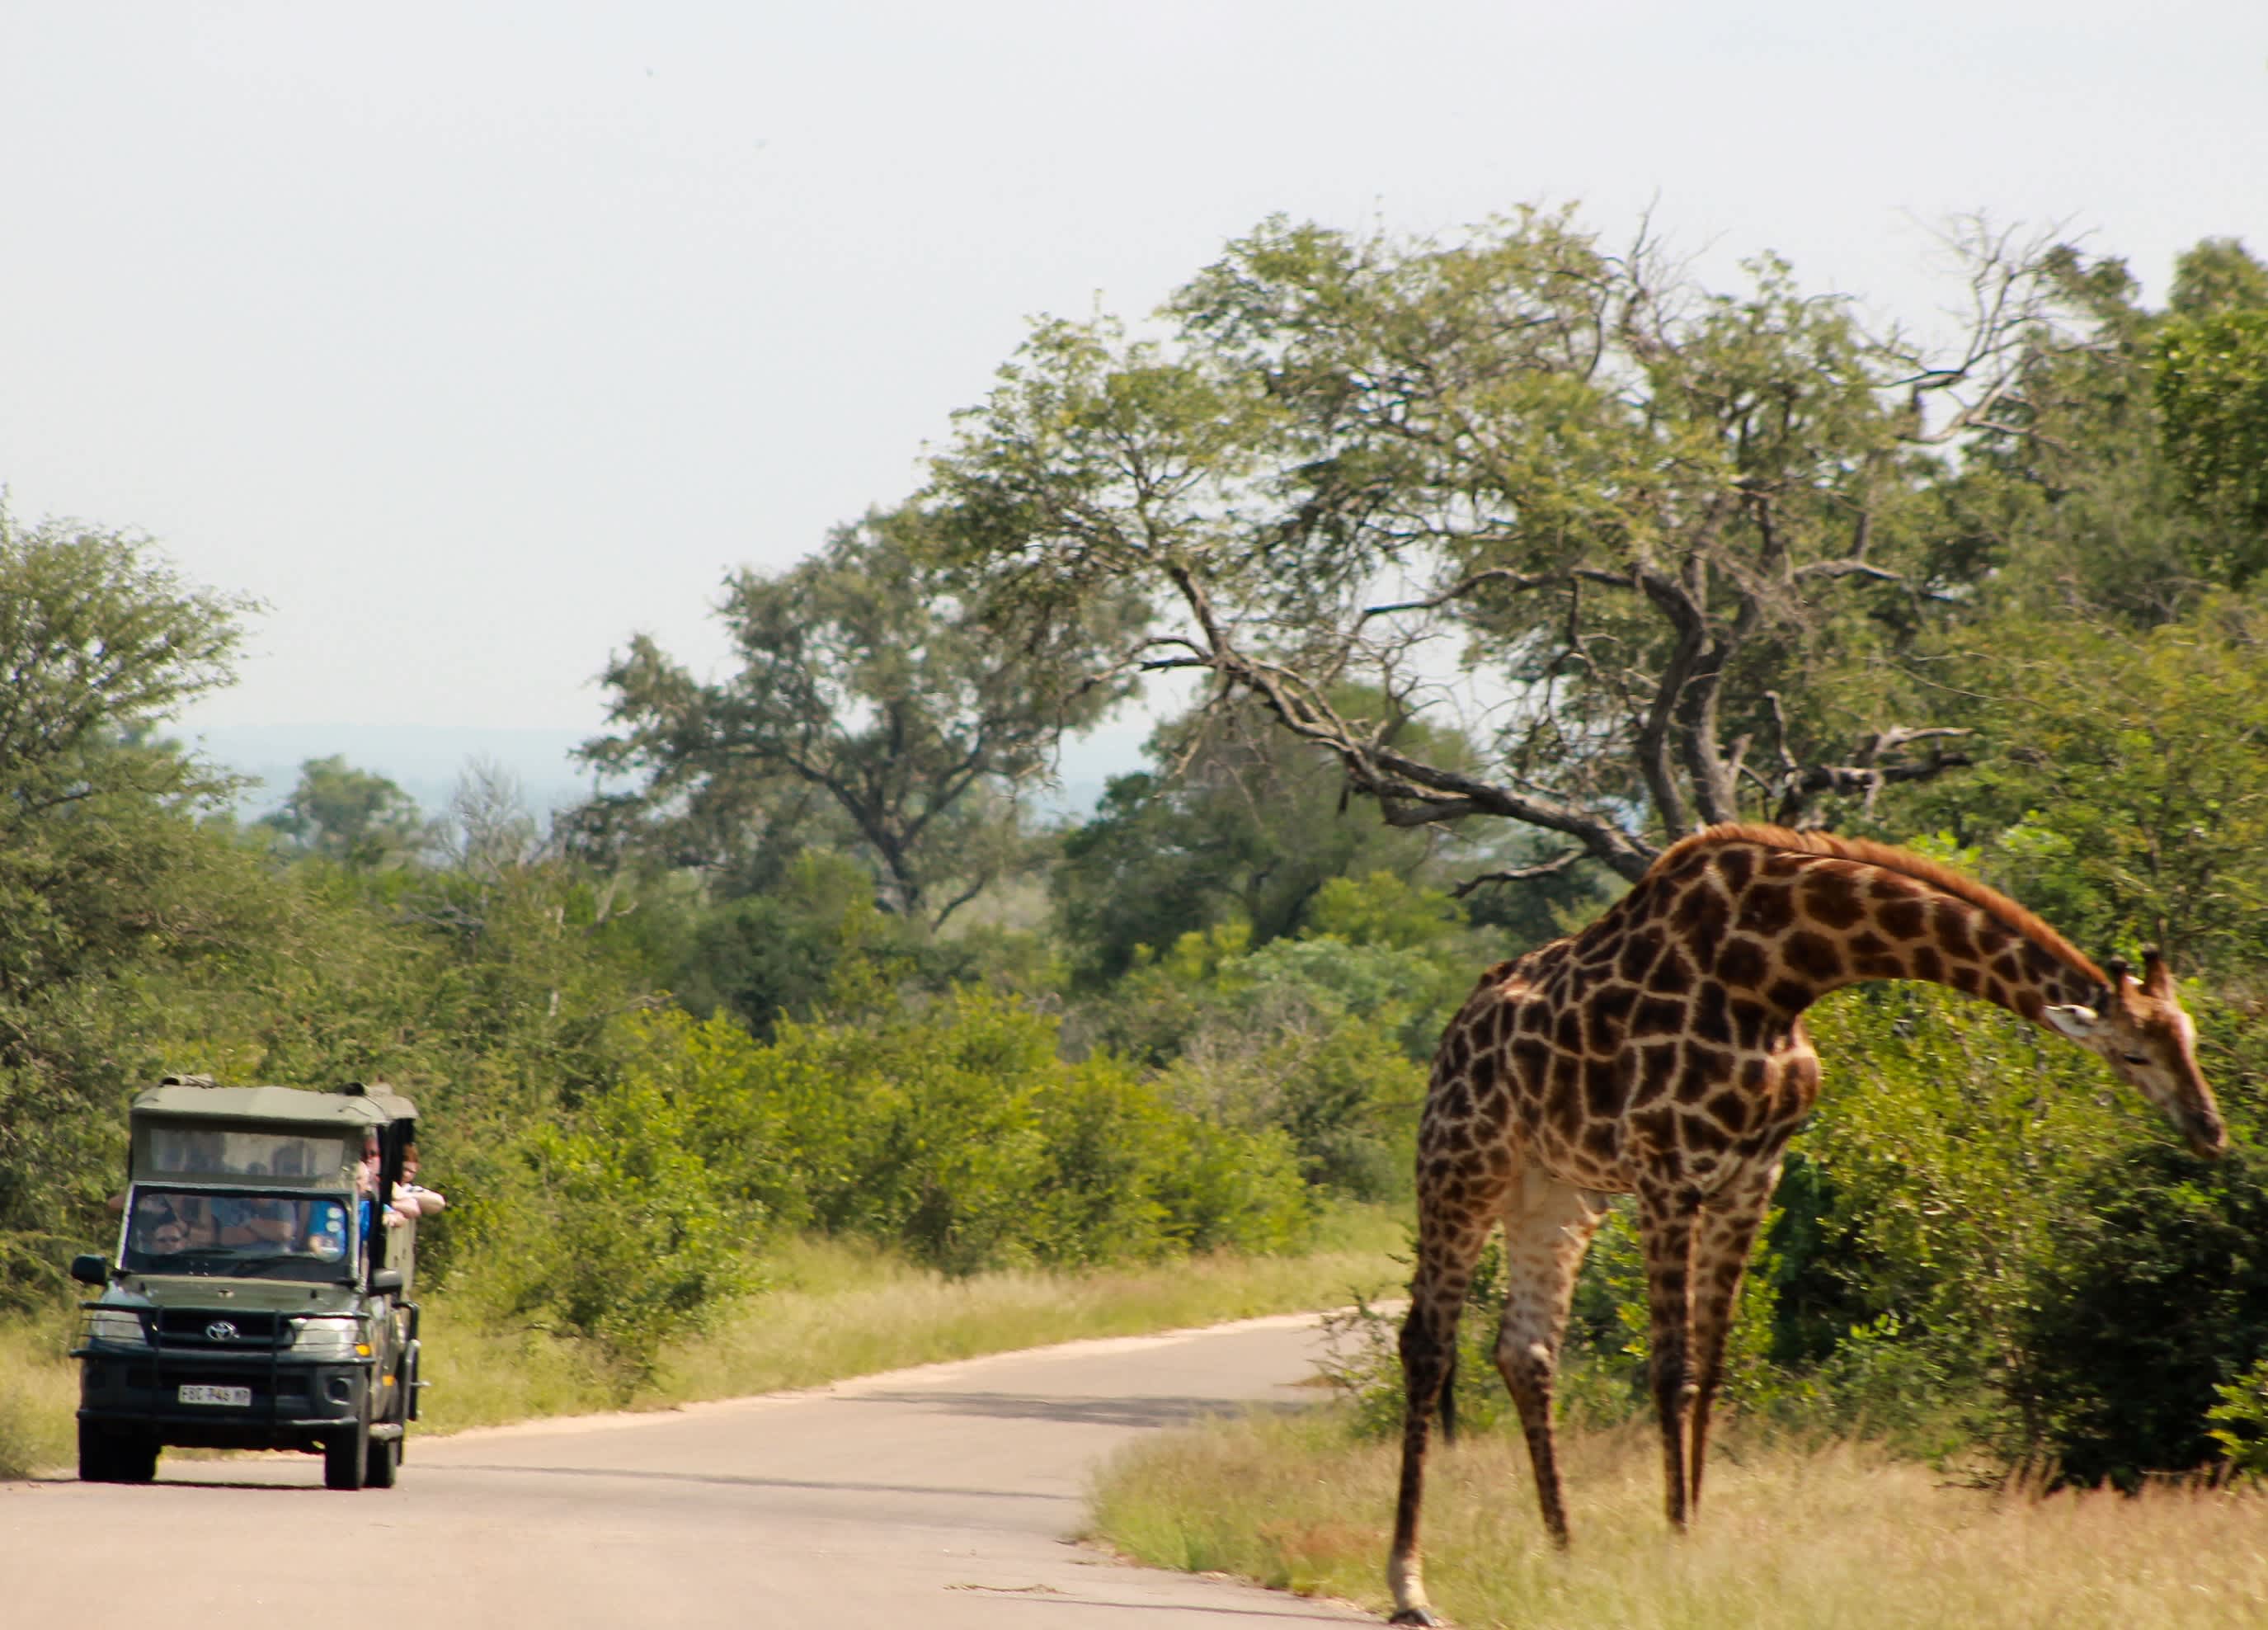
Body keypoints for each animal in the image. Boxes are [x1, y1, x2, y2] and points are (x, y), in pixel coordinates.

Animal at [1388, 820, 2223, 1623]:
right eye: (2133, 1054)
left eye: (2190, 1036)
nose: (2209, 1128)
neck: (1776, 972)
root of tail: (1454, 1034)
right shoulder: (1668, 1172)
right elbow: (1671, 1370)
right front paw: (1676, 1542)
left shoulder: (1750, 1176)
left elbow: (1713, 1367)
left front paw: (1693, 1534)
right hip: (1462, 1165)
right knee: (1428, 1344)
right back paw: (1410, 1585)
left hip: (1556, 1195)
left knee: (1527, 1352)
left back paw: (1563, 1549)